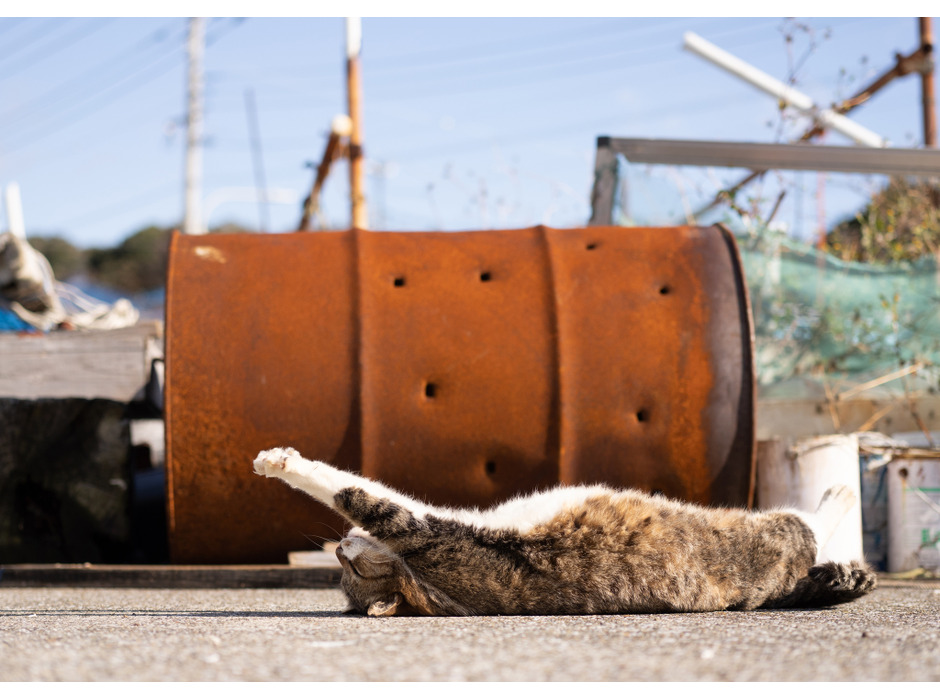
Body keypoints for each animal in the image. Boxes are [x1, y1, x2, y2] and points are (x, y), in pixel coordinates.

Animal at [252, 446, 872, 616]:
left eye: (347, 566)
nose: (338, 546)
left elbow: (356, 492)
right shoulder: (422, 527)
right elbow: (353, 490)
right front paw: (281, 464)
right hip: (776, 533)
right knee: (810, 525)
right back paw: (839, 494)